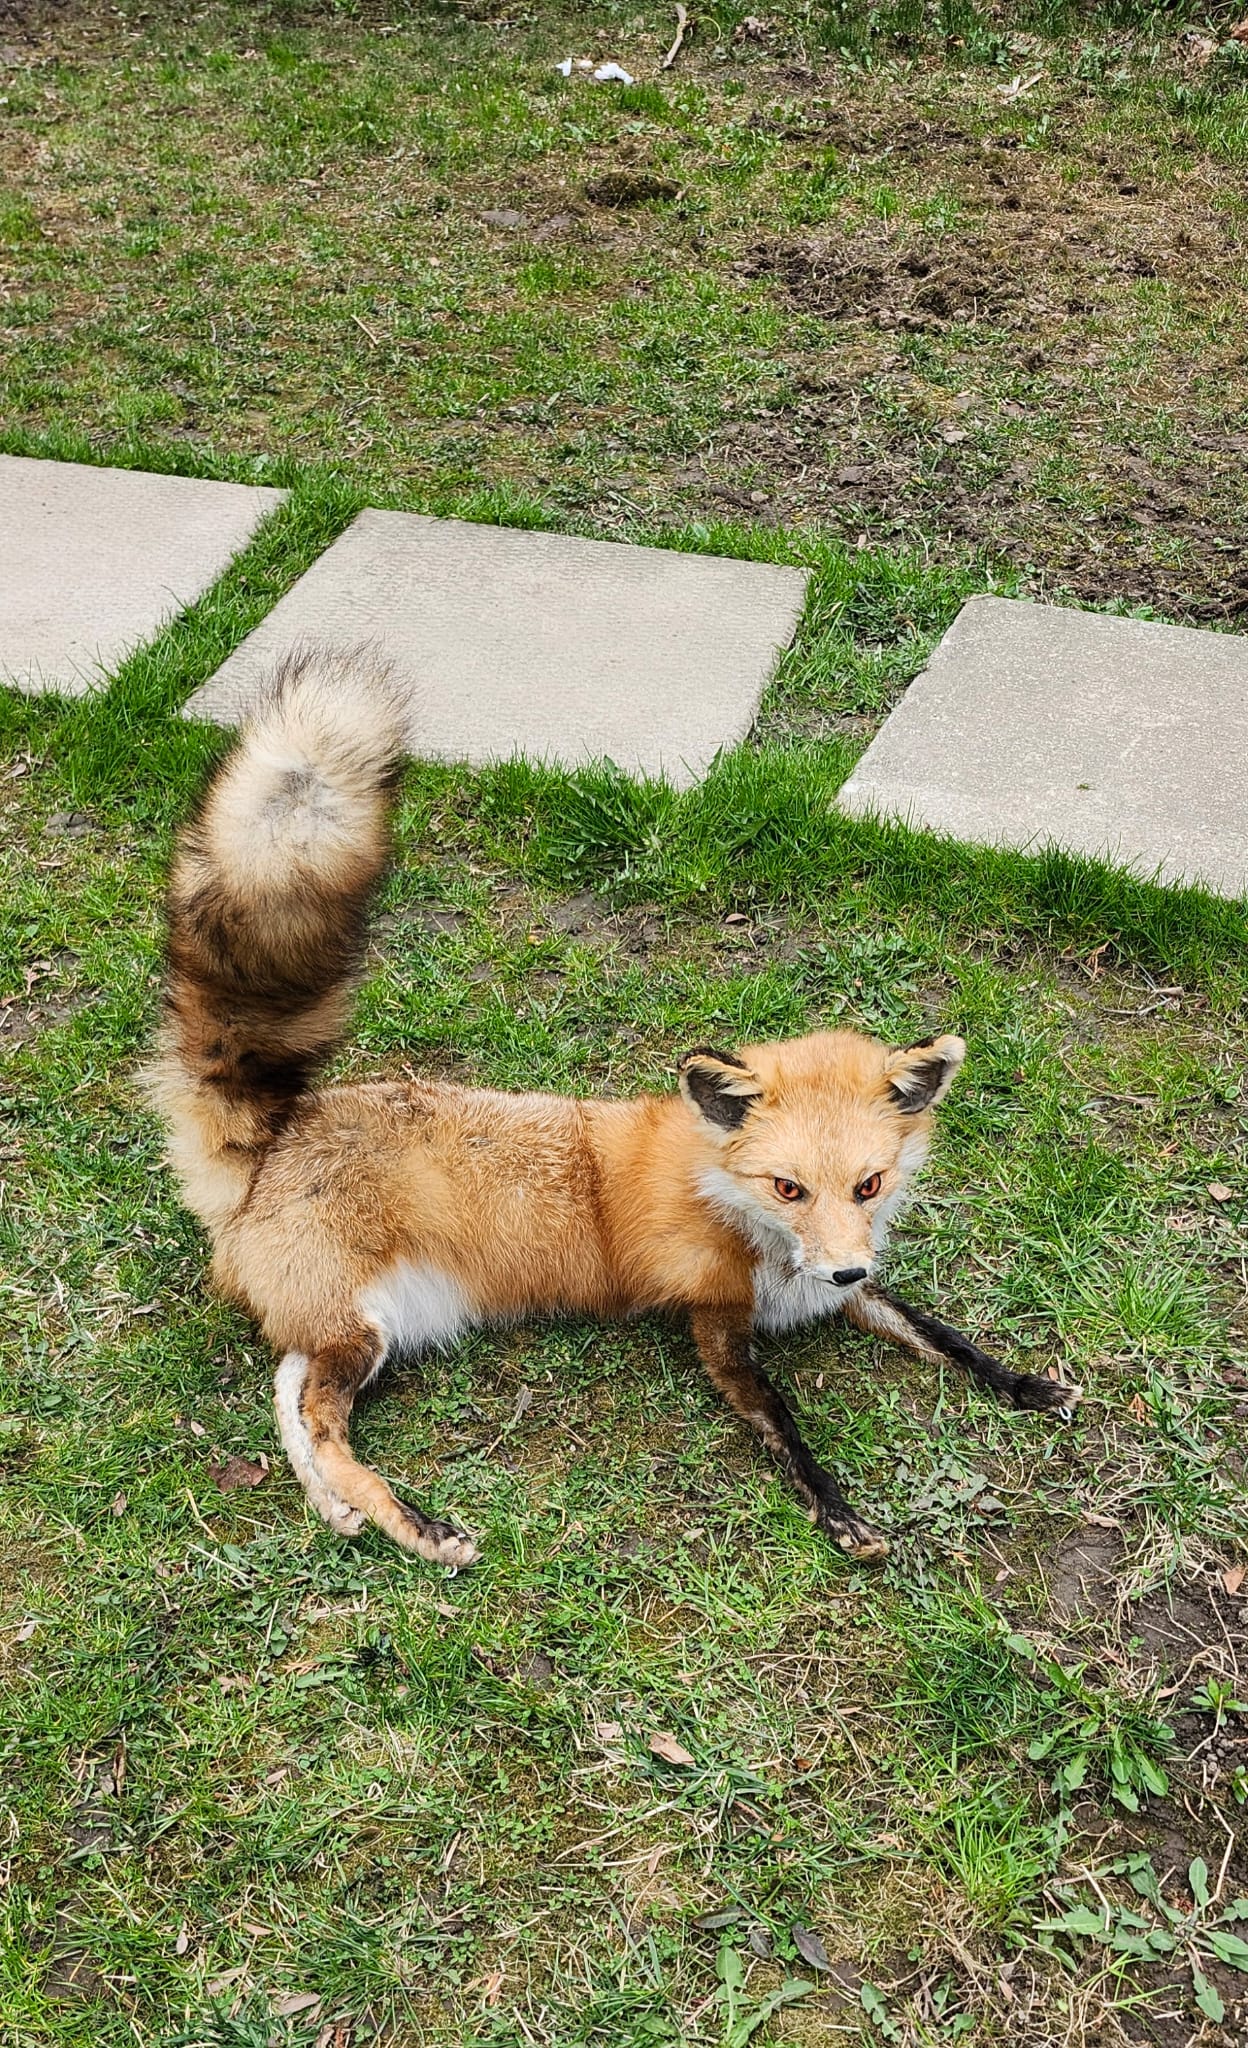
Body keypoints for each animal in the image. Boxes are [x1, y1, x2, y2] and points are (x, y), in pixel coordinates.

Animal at [146, 647, 1082, 1569]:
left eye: (869, 1185)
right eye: (788, 1188)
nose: (847, 1268)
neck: (738, 1216)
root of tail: (275, 1138)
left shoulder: (828, 1283)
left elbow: (939, 1332)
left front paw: (1023, 1382)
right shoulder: (716, 1323)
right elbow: (784, 1425)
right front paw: (839, 1511)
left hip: (360, 1331)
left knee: (290, 1396)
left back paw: (338, 1510)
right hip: (359, 1330)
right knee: (318, 1419)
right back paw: (416, 1528)